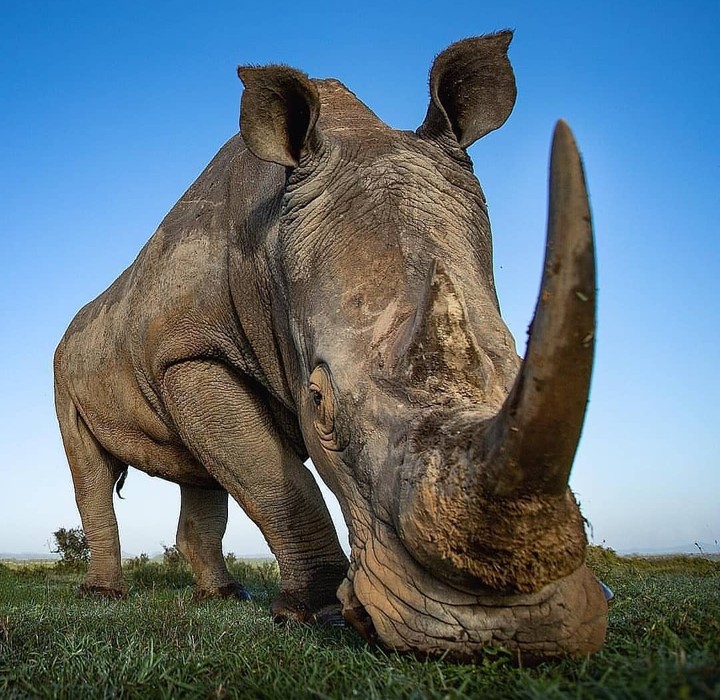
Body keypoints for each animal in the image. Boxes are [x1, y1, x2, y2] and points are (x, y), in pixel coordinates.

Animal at [54, 31, 608, 662]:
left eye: (521, 367)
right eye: (320, 404)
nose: (505, 635)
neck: (271, 242)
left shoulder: (185, 356)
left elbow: (244, 468)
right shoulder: (189, 353)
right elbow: (277, 482)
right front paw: (315, 615)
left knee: (201, 471)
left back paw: (221, 597)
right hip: (67, 359)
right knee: (90, 468)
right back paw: (104, 596)